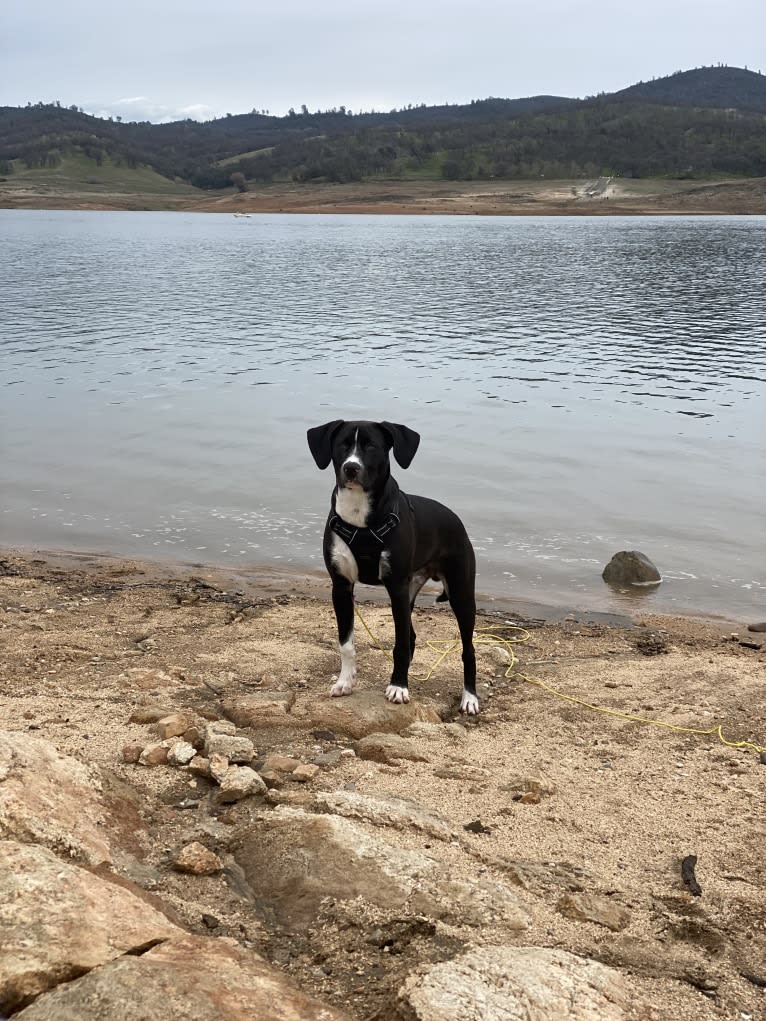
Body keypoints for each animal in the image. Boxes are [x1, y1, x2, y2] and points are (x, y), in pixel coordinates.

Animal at [308, 418, 480, 714]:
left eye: (372, 447)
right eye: (342, 445)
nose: (351, 468)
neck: (360, 516)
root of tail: (456, 520)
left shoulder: (396, 587)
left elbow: (399, 644)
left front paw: (399, 686)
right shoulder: (341, 587)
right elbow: (346, 643)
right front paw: (345, 681)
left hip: (461, 594)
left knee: (467, 649)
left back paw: (469, 697)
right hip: (411, 592)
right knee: (411, 635)